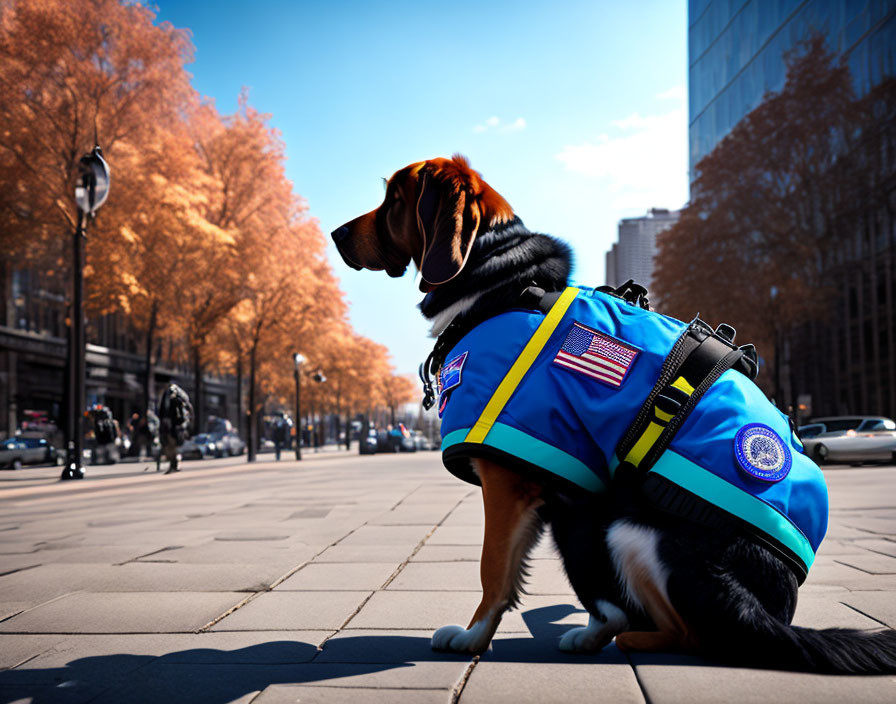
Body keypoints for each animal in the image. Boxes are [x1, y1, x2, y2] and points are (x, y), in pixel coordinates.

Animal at [332, 154, 896, 672]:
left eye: (394, 200)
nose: (336, 234)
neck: (501, 283)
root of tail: (774, 612)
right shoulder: (555, 485)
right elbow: (553, 579)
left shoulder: (507, 478)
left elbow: (493, 569)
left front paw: (473, 639)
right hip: (596, 514)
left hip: (634, 532)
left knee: (694, 635)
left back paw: (631, 639)